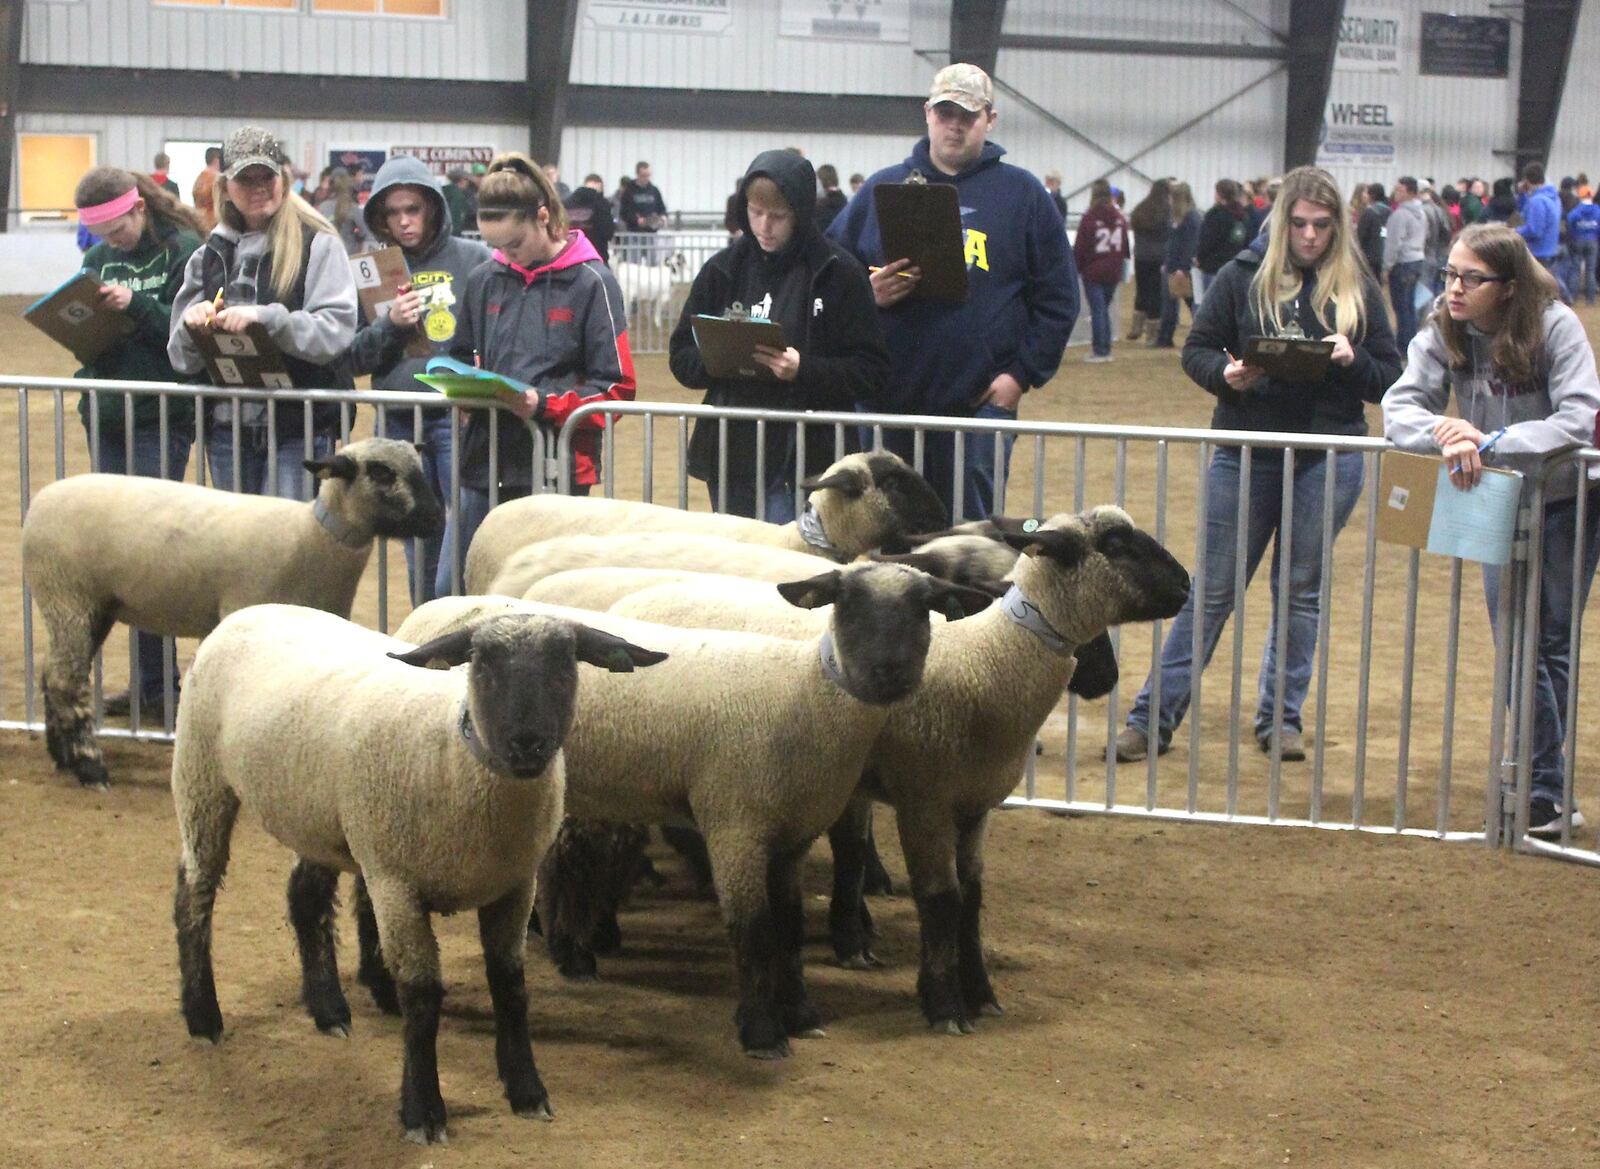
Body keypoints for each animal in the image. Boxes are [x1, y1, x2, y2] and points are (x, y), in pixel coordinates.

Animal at [390, 556, 985, 1061]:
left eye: (924, 609)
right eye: (848, 605)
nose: (891, 675)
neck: (805, 697)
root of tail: (427, 616)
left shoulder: (789, 835)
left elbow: (789, 927)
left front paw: (800, 1013)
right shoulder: (735, 822)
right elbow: (753, 929)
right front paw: (763, 1032)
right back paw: (570, 953)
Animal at [588, 508, 1190, 1036]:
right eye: (1115, 544)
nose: (1186, 584)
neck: (989, 660)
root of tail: (636, 597)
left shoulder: (974, 806)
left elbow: (971, 897)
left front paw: (980, 991)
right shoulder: (926, 798)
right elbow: (941, 899)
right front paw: (944, 1004)